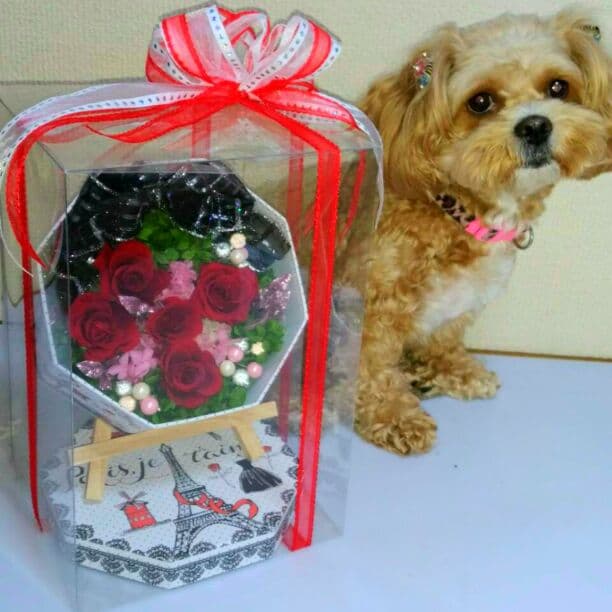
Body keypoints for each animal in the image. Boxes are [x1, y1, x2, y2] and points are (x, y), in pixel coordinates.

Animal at [351, 9, 612, 455]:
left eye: (558, 86)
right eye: (481, 101)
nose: (535, 125)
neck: (452, 209)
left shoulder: (461, 302)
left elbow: (444, 338)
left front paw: (453, 370)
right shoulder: (372, 307)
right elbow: (372, 367)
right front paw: (394, 417)